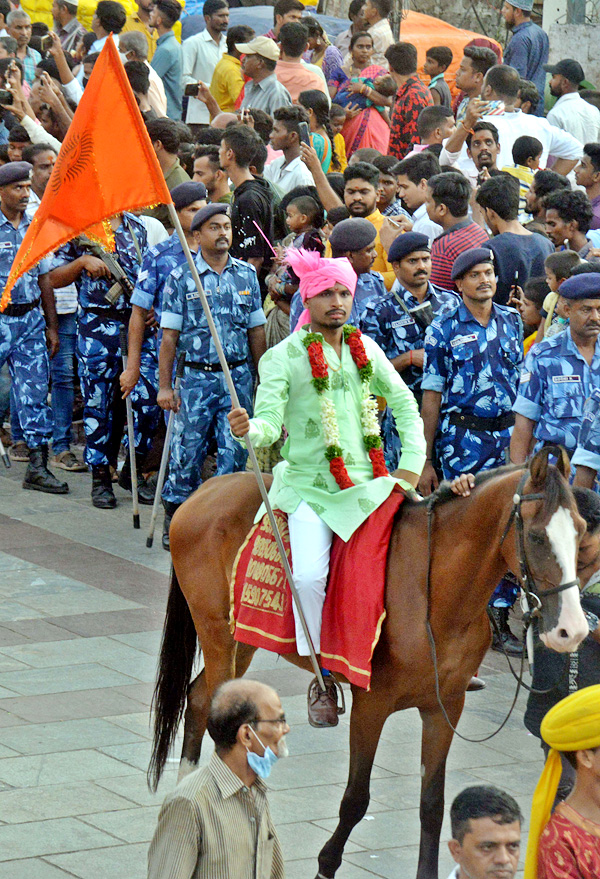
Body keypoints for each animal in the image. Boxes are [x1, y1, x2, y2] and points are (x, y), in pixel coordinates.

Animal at [148, 450, 588, 876]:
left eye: (581, 533)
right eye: (536, 536)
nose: (573, 630)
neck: (434, 595)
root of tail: (206, 489)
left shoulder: (445, 706)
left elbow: (432, 804)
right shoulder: (370, 707)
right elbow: (356, 799)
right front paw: (326, 865)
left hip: (244, 639)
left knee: (198, 699)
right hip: (217, 633)